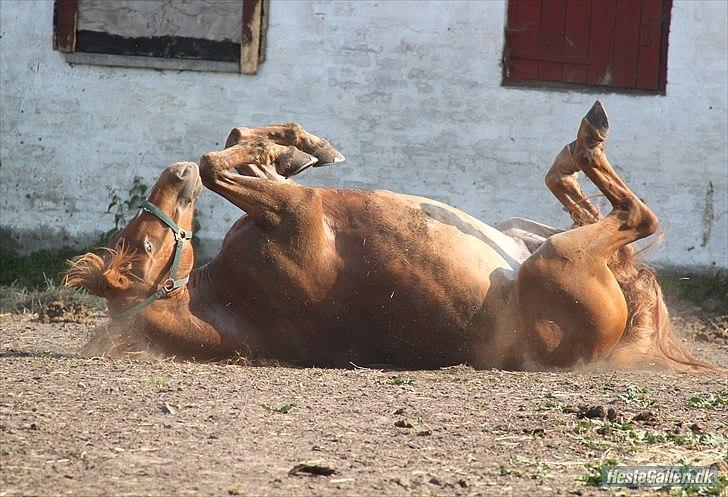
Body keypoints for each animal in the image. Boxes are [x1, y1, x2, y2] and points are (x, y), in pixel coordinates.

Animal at [67, 102, 716, 370]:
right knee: (635, 220)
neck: (231, 299)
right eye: (145, 250)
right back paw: (585, 141)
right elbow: (218, 163)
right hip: (557, 259)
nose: (171, 176)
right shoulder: (297, 216)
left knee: (585, 210)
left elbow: (234, 148)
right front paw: (290, 148)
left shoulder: (282, 204)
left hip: (532, 238)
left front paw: (295, 149)